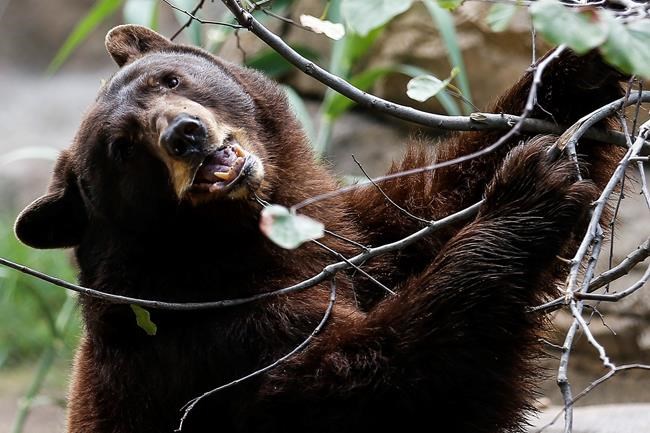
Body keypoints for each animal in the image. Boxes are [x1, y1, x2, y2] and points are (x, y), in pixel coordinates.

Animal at [14, 25, 625, 433]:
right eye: (121, 149)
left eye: (170, 78)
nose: (185, 133)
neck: (241, 235)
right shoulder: (213, 334)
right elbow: (368, 380)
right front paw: (532, 185)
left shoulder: (341, 232)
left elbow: (427, 204)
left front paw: (580, 63)